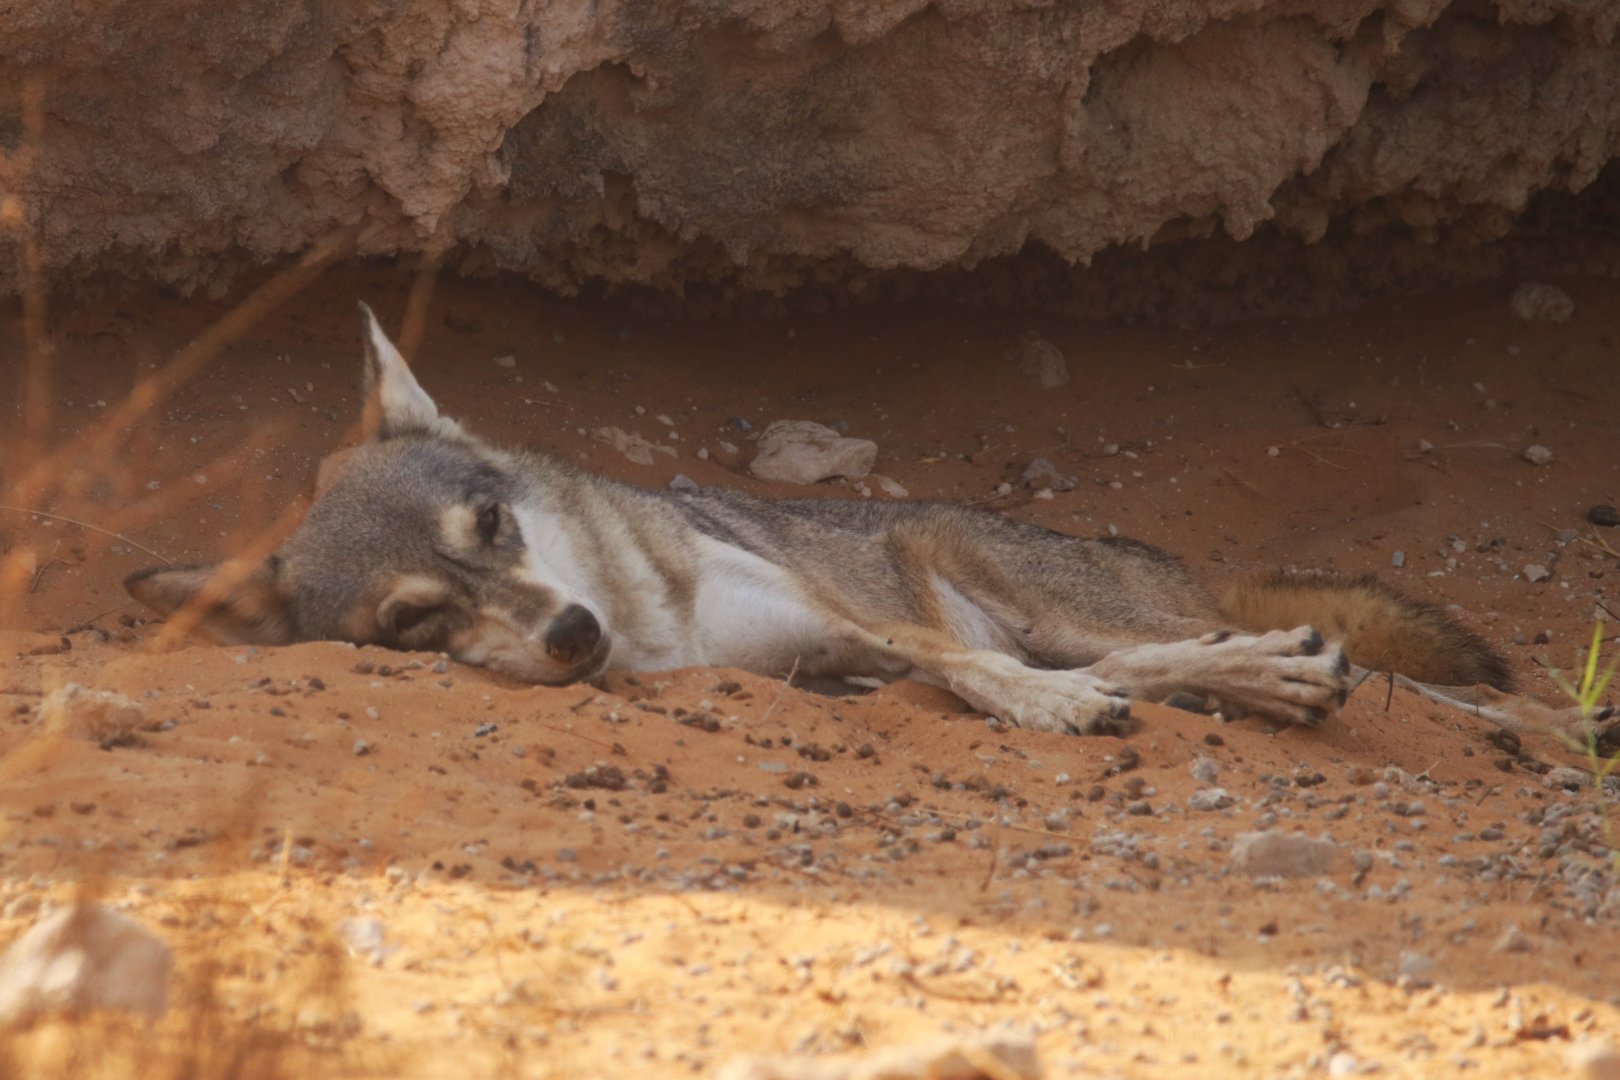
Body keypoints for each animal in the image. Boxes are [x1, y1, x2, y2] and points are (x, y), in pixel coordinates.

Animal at [124, 304, 1515, 736]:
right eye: (414, 623)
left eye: (493, 527)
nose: (572, 635)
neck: (660, 626)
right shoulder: (818, 655)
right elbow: (966, 673)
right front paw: (1056, 709)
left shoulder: (848, 617)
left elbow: (953, 661)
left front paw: (1043, 709)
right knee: (1154, 660)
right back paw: (1263, 675)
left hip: (993, 576)